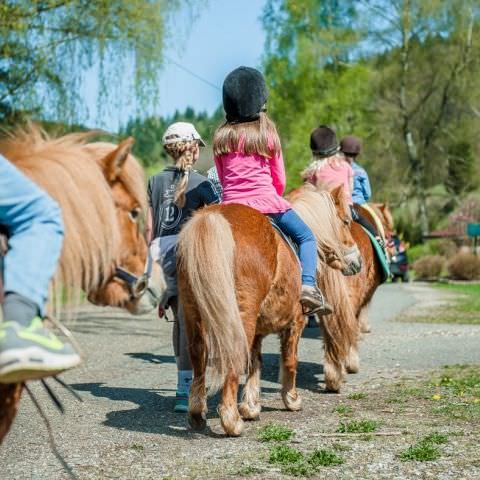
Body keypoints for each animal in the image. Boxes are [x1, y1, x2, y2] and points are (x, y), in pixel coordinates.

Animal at [178, 184, 362, 436]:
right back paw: (231, 421)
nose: (357, 262)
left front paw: (251, 406)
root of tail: (214, 219)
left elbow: (255, 363)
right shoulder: (296, 322)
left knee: (198, 354)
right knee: (234, 356)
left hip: (192, 312)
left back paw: (197, 414)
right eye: (345, 221)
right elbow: (290, 360)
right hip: (241, 316)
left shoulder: (257, 330)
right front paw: (291, 399)